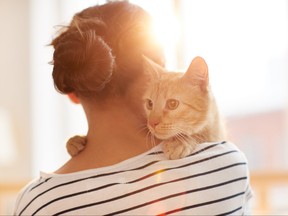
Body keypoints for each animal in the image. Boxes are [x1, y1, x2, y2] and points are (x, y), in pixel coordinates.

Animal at [66, 56, 226, 159]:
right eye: (150, 104)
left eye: (172, 104)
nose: (152, 123)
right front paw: (75, 140)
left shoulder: (215, 135)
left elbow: (200, 136)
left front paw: (181, 142)